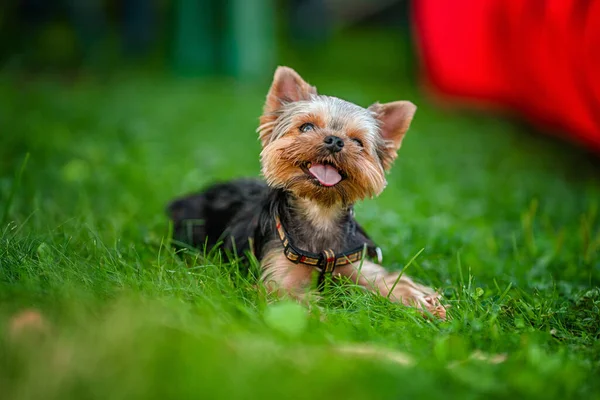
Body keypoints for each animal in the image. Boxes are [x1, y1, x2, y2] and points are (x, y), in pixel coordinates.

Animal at [168, 67, 446, 320]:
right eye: (307, 127)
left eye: (358, 142)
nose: (335, 140)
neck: (320, 211)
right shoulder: (278, 278)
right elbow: (290, 297)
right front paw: (325, 318)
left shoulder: (356, 265)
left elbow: (389, 280)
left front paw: (422, 302)